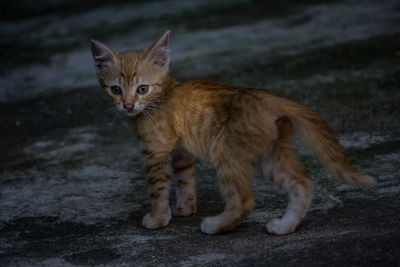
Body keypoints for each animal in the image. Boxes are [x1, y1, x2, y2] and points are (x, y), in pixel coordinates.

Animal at [90, 31, 376, 236]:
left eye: (142, 89)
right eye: (115, 90)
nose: (128, 105)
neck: (161, 98)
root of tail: (266, 96)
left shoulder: (155, 152)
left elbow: (157, 189)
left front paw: (159, 218)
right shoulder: (180, 151)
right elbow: (185, 178)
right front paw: (185, 207)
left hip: (225, 151)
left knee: (244, 200)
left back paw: (217, 225)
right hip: (270, 154)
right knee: (302, 184)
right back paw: (285, 226)